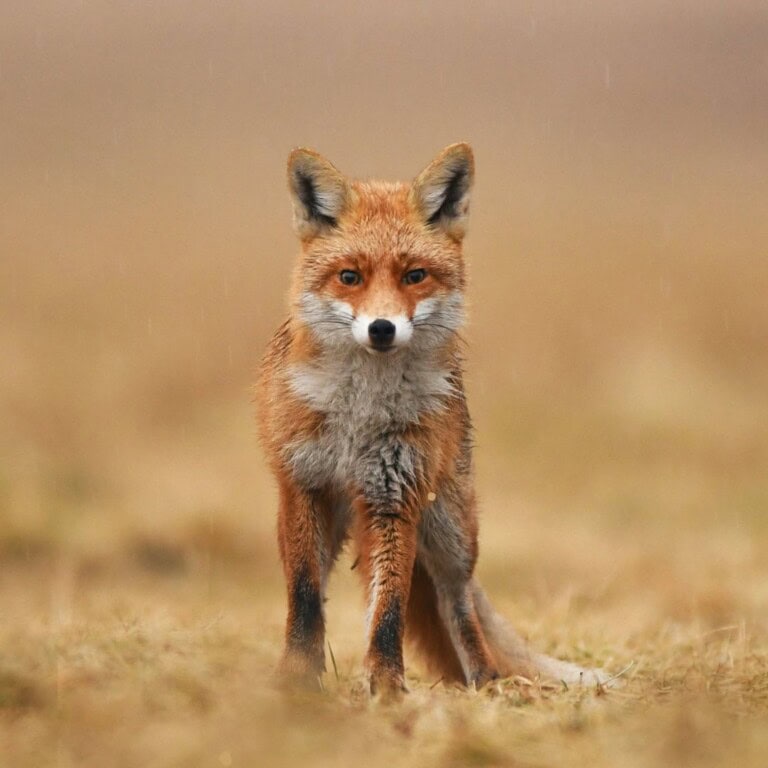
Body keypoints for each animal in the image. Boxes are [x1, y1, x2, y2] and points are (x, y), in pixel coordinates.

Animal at [256, 143, 610, 697]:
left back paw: (485, 683)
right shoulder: (302, 487)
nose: (381, 328)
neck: (360, 412)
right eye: (350, 277)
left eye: (414, 275)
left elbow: (390, 610)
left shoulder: (395, 494)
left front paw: (387, 687)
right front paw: (296, 678)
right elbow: (307, 599)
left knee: (456, 602)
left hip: (449, 530)